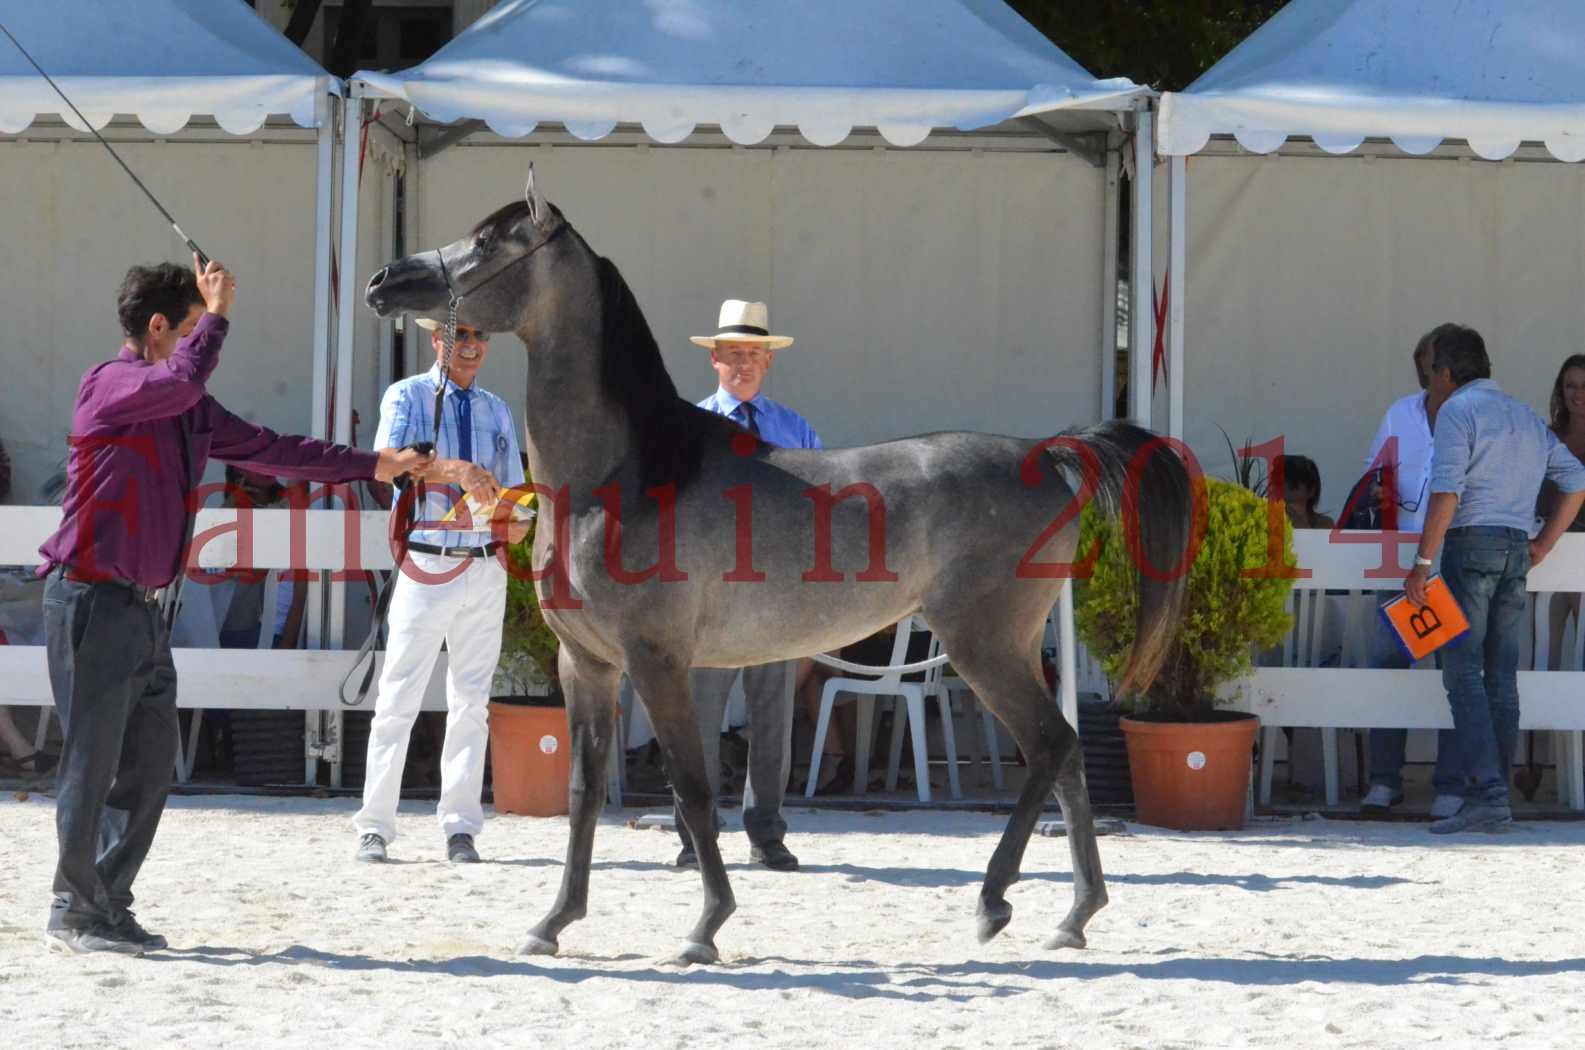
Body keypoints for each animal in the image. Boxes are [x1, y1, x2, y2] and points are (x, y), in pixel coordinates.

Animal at [367, 172, 1191, 970]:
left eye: (485, 243)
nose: (383, 280)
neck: (626, 475)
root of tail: (1047, 454)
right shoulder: (588, 665)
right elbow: (581, 791)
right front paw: (553, 924)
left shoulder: (655, 661)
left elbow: (694, 789)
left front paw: (704, 927)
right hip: (1006, 647)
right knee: (1067, 754)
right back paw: (1074, 917)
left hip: (980, 644)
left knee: (1050, 745)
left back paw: (994, 904)